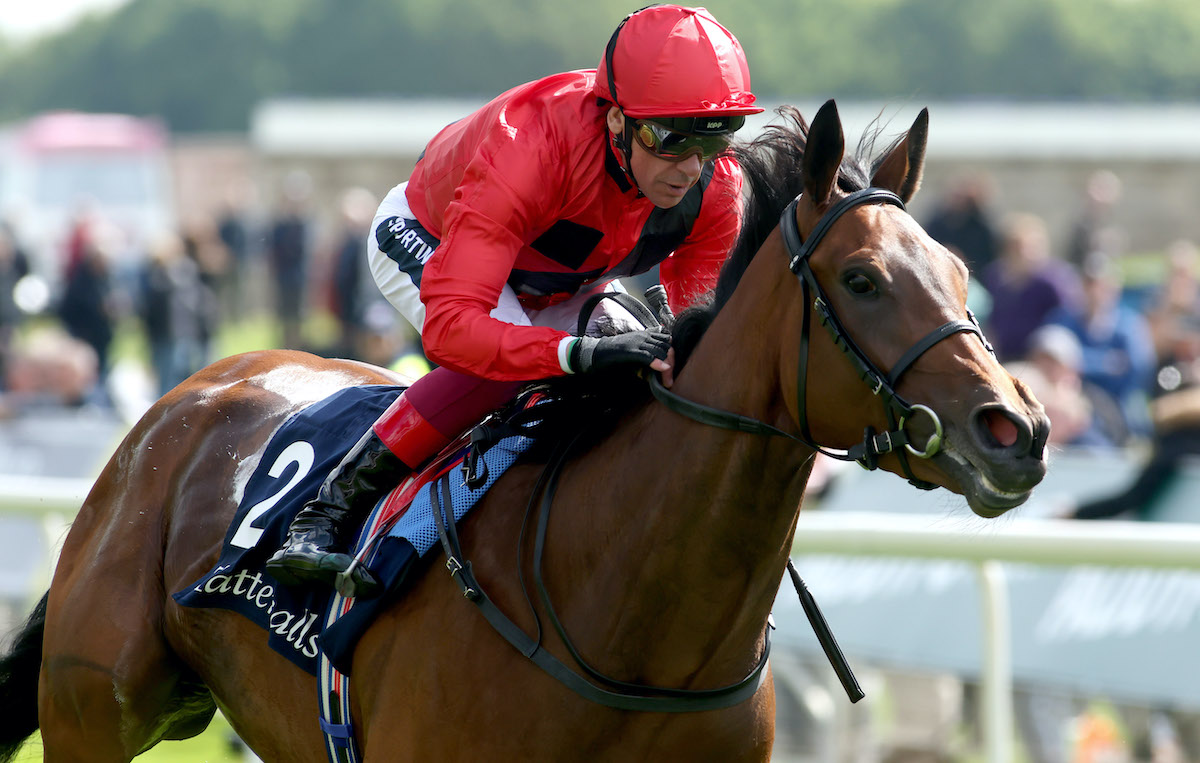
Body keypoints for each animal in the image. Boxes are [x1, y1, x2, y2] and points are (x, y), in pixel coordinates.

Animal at [0, 101, 1051, 763]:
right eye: (864, 279)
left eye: (961, 270)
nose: (1017, 431)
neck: (632, 619)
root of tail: (192, 391)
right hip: (91, 713)